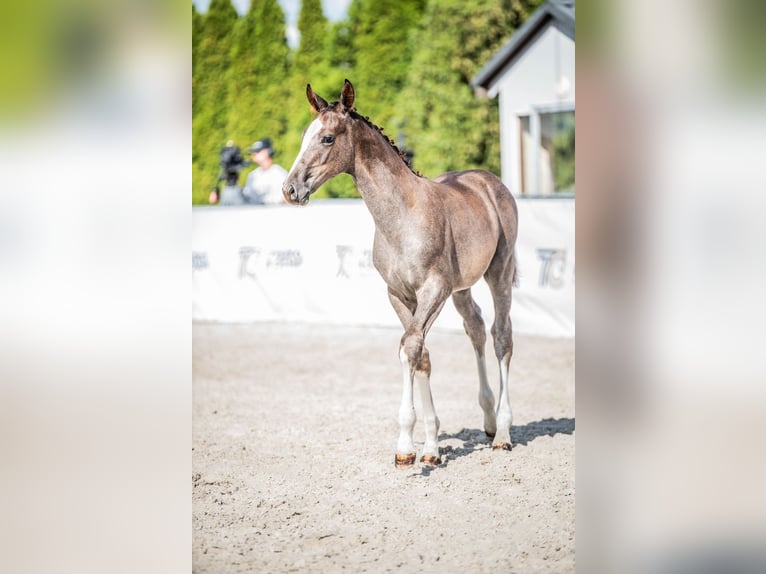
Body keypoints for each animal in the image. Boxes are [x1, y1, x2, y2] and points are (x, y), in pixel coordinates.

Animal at [282, 80, 518, 467]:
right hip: (462, 289)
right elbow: (419, 354)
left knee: (501, 336)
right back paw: (486, 420)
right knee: (475, 328)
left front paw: (409, 446)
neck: (403, 217)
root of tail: (488, 181)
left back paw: (502, 432)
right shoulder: (399, 294)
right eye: (304, 135)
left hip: (499, 273)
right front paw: (428, 447)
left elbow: (410, 347)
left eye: (328, 137)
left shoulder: (433, 290)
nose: (290, 190)